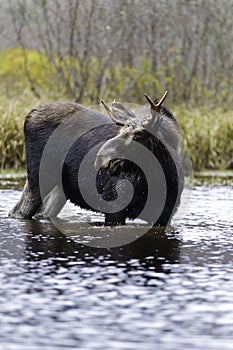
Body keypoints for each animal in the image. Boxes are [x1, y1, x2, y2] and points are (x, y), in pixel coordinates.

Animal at [9, 91, 184, 227]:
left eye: (139, 133)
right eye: (121, 129)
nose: (101, 157)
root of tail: (30, 114)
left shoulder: (165, 217)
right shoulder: (115, 208)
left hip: (60, 188)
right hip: (39, 176)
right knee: (19, 211)